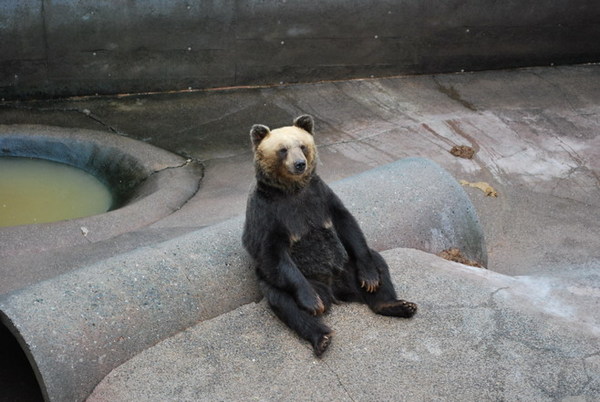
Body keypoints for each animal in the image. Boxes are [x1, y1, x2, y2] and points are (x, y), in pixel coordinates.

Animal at [241, 114, 414, 356]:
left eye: (302, 146)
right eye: (283, 149)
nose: (300, 164)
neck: (291, 190)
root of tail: (335, 291)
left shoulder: (320, 195)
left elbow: (346, 222)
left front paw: (370, 279)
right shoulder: (267, 211)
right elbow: (269, 250)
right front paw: (312, 303)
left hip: (348, 266)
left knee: (378, 262)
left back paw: (396, 304)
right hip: (293, 282)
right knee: (284, 301)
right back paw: (321, 336)